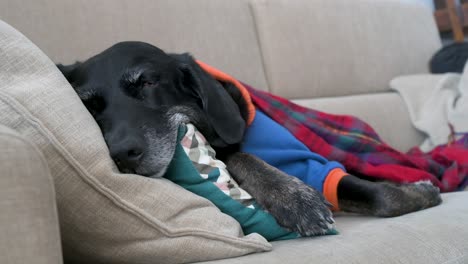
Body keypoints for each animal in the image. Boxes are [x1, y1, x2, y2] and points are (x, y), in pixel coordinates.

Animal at [58, 42, 442, 236]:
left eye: (148, 83)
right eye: (90, 106)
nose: (122, 153)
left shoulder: (308, 159)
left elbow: (380, 195)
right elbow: (239, 158)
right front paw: (292, 198)